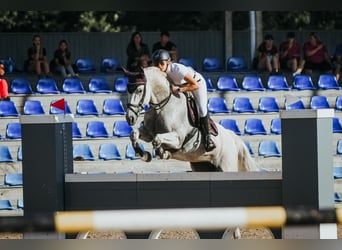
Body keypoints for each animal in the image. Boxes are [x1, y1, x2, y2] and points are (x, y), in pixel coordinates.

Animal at [124, 66, 258, 172]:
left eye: (139, 90)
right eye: (127, 90)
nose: (130, 118)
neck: (161, 106)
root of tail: (233, 138)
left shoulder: (178, 138)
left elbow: (157, 139)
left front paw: (163, 153)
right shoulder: (148, 133)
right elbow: (134, 134)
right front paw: (143, 154)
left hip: (227, 166)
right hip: (202, 166)